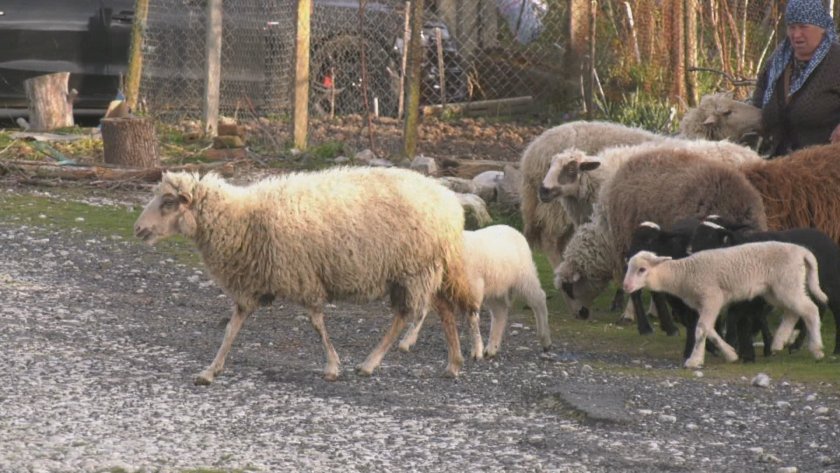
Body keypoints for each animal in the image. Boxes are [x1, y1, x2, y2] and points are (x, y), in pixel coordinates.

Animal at [133, 168, 479, 384]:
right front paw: (210, 371)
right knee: (440, 310)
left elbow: (316, 324)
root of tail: (450, 202)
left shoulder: (303, 276)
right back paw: (450, 364)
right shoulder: (251, 284)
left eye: (167, 202)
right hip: (418, 269)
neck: (243, 218)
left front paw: (332, 366)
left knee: (416, 312)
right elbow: (232, 328)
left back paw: (385, 358)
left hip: (415, 267)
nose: (137, 229)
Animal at [398, 224, 552, 358]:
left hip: (524, 276)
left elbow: (472, 319)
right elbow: (420, 313)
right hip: (493, 288)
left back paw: (545, 339)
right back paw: (492, 348)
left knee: (539, 299)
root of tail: (512, 229)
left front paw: (476, 350)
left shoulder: (473, 288)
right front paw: (406, 342)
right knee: (500, 312)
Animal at [624, 242, 827, 369]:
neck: (683, 275)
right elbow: (710, 330)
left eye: (642, 270)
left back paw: (817, 350)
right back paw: (778, 343)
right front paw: (730, 354)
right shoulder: (703, 304)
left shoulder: (712, 296)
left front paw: (694, 361)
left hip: (787, 283)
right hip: (775, 290)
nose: (626, 286)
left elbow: (701, 329)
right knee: (793, 312)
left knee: (810, 309)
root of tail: (802, 252)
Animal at [690, 218, 840, 356]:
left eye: (710, 237)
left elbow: (739, 317)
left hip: (826, 287)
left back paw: (832, 351)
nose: (691, 254)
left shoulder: (752, 298)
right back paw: (791, 344)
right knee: (814, 308)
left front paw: (735, 344)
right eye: (695, 235)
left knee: (825, 310)